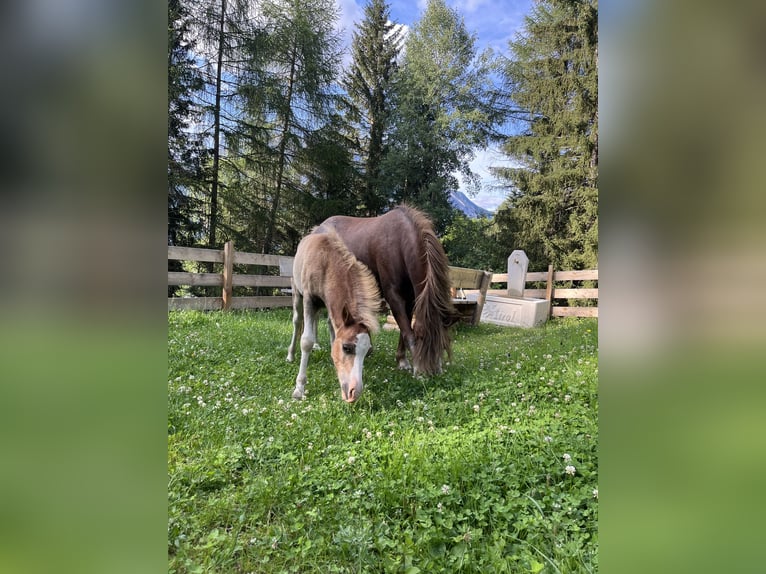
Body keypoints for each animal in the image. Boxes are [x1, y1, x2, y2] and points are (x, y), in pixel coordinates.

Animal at [286, 227, 382, 402]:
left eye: (368, 351)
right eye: (347, 348)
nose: (354, 393)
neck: (325, 263)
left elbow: (332, 333)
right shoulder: (309, 299)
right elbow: (306, 341)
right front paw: (299, 388)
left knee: (321, 321)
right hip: (297, 293)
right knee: (297, 322)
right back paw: (290, 355)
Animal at [316, 205, 460, 376]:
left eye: (444, 342)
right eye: (421, 335)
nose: (432, 372)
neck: (400, 242)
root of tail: (318, 228)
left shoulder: (410, 299)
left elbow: (404, 330)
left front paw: (402, 360)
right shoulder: (393, 296)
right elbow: (407, 332)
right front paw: (415, 366)